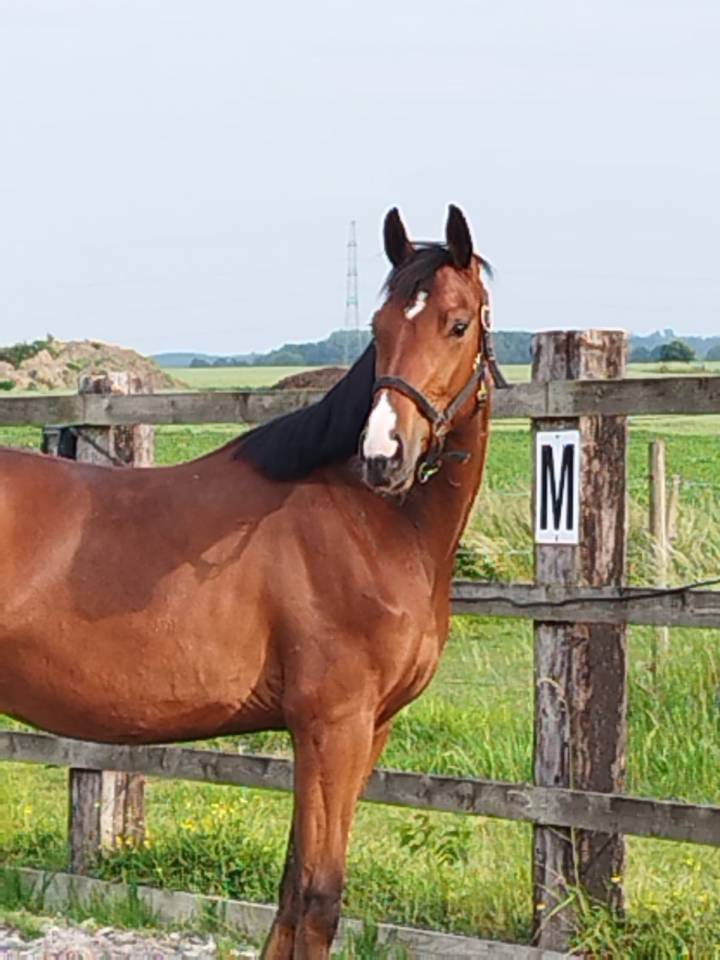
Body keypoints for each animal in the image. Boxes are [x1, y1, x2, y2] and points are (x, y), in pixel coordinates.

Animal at [0, 205, 499, 959]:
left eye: (458, 323)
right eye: (379, 326)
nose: (384, 455)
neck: (367, 521)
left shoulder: (365, 731)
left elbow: (291, 892)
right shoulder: (332, 727)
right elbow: (318, 899)